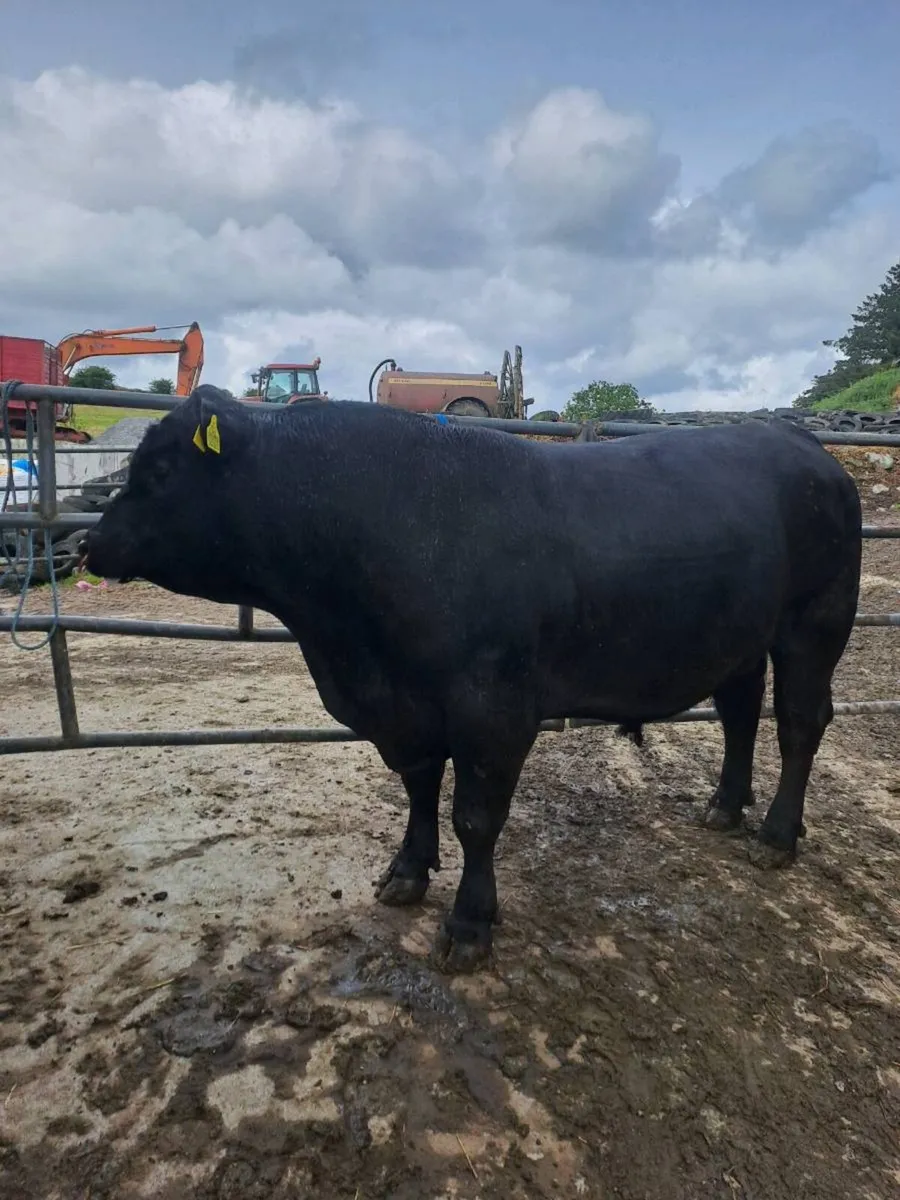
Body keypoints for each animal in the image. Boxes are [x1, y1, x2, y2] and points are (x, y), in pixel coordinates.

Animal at [83, 386, 862, 973]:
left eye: (158, 471)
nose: (90, 542)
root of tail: (800, 443)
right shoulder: (406, 708)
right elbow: (420, 787)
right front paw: (406, 871)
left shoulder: (494, 709)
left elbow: (476, 818)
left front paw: (468, 924)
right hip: (740, 636)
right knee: (740, 711)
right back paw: (725, 807)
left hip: (815, 622)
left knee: (800, 721)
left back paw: (777, 835)